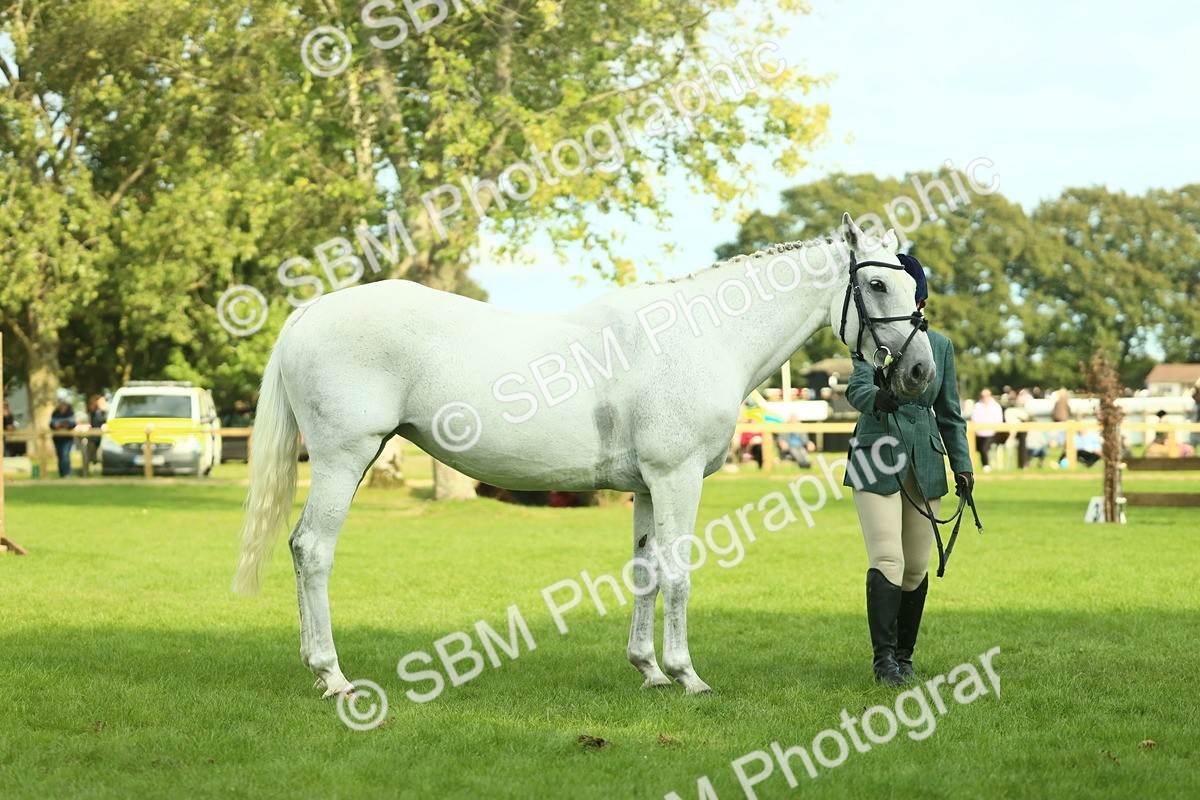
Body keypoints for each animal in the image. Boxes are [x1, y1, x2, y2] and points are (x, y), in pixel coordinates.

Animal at [232, 213, 935, 697]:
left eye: (913, 285)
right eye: (877, 283)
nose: (920, 373)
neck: (704, 336)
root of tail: (310, 313)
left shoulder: (648, 486)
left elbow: (646, 572)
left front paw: (649, 671)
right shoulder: (677, 479)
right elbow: (678, 572)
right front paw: (687, 676)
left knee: (301, 547)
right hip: (343, 458)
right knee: (313, 550)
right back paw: (333, 676)